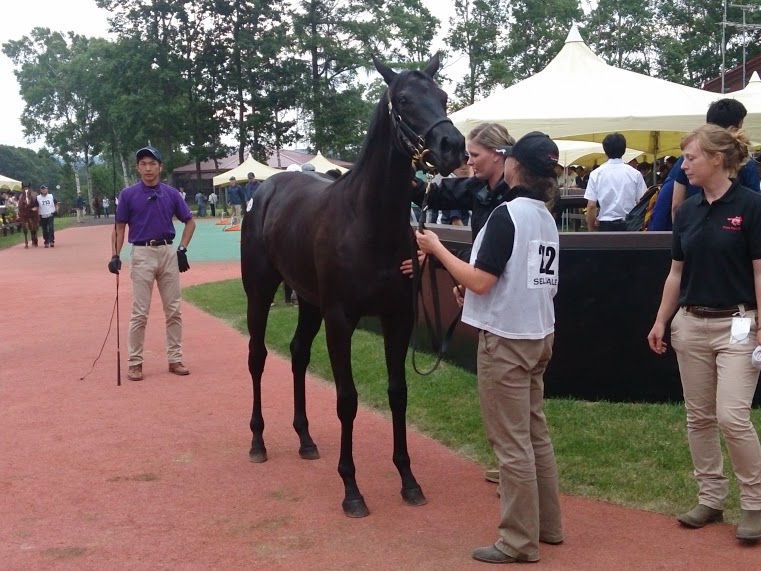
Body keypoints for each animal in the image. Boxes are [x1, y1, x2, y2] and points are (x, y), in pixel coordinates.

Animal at [240, 54, 464, 520]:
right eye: (403, 99)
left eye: (443, 95)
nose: (453, 145)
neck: (368, 221)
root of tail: (267, 188)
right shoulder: (341, 319)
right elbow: (347, 399)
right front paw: (351, 488)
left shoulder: (400, 317)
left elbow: (398, 392)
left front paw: (408, 480)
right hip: (261, 291)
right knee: (257, 356)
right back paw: (258, 440)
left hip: (308, 302)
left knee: (298, 354)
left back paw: (305, 438)